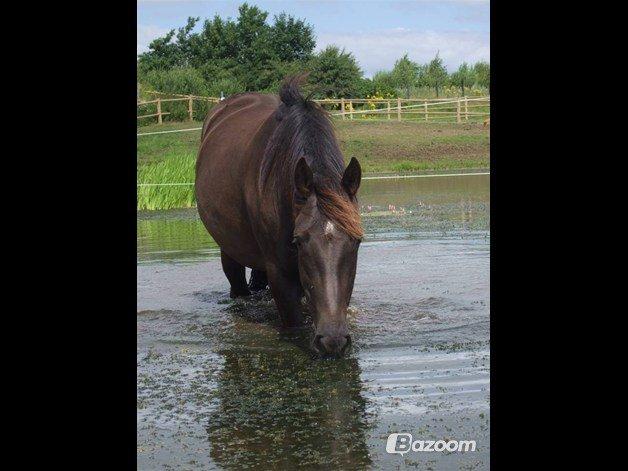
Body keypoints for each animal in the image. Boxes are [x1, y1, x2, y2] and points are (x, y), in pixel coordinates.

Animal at [196, 75, 364, 356]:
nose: (332, 341)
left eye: (357, 240)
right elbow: (294, 326)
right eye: (298, 241)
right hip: (229, 252)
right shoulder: (281, 276)